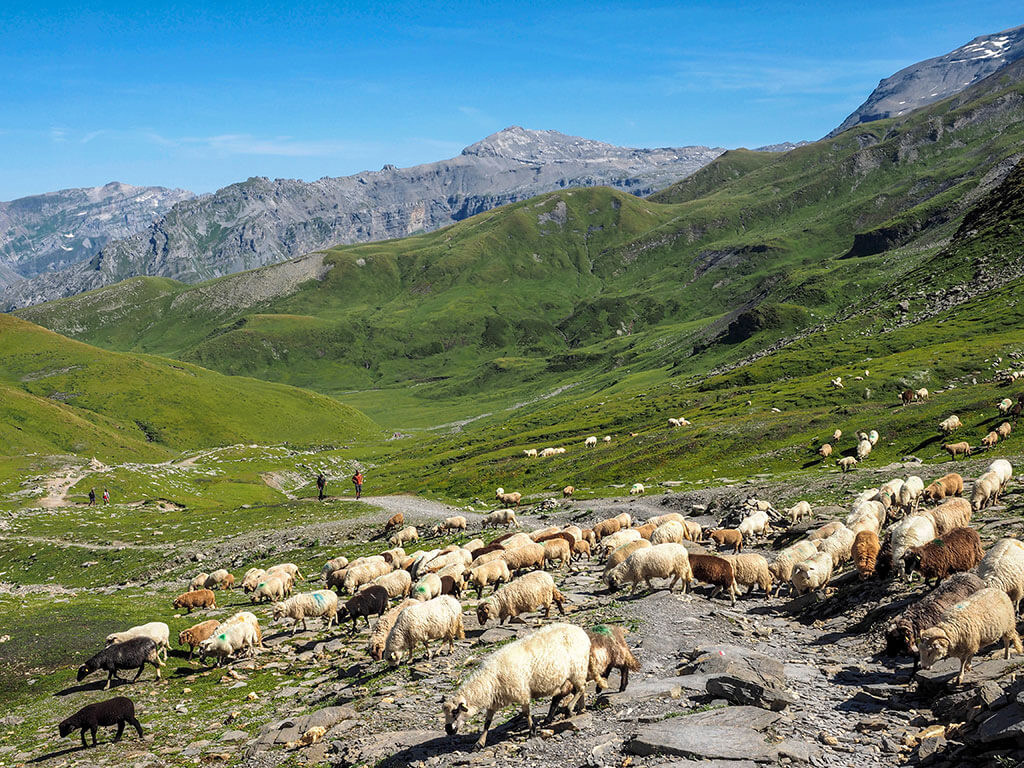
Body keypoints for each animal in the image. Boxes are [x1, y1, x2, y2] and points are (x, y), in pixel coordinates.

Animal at [443, 623, 589, 748]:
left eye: (455, 711)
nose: (448, 730)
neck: (491, 678)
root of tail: (580, 630)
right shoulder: (494, 701)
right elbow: (487, 722)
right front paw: (480, 743)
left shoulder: (521, 692)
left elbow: (526, 713)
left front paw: (532, 732)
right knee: (580, 690)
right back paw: (581, 709)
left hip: (578, 668)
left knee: (581, 689)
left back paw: (570, 709)